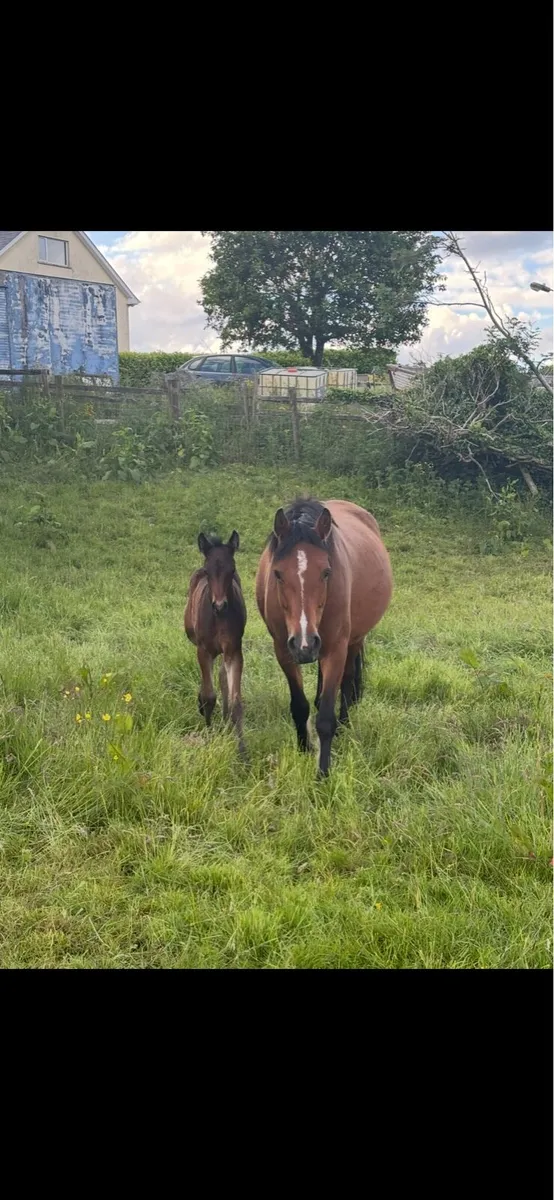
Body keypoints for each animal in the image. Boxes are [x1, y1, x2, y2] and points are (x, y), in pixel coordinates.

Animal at [184, 530, 246, 756]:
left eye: (232, 569)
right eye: (207, 570)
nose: (219, 606)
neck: (219, 619)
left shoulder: (234, 651)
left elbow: (236, 702)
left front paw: (242, 752)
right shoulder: (204, 651)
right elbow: (209, 696)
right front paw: (209, 733)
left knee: (221, 675)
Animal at [255, 499, 392, 776]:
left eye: (326, 572)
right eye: (277, 573)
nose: (304, 643)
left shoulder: (335, 650)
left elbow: (326, 717)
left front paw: (323, 773)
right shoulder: (284, 650)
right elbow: (299, 706)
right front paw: (304, 750)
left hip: (352, 640)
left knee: (348, 682)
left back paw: (345, 726)